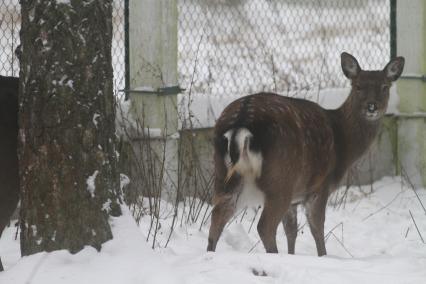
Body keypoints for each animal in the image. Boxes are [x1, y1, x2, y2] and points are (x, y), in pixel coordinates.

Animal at [208, 52, 404, 256]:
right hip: (280, 177)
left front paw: (292, 255)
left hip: (225, 176)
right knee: (264, 226)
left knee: (216, 220)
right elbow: (317, 229)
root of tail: (242, 122)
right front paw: (322, 256)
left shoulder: (296, 197)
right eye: (358, 86)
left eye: (385, 87)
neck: (343, 145)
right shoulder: (320, 186)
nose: (372, 107)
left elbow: (291, 231)